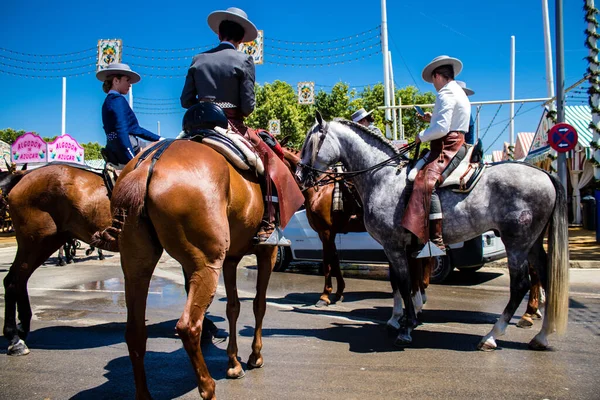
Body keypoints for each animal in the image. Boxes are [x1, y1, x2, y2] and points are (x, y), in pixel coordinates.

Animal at [94, 141, 282, 400]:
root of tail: (149, 163)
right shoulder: (267, 253)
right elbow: (259, 304)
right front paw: (255, 356)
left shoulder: (231, 260)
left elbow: (233, 307)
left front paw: (233, 363)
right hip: (206, 265)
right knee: (188, 327)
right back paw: (208, 387)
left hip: (135, 266)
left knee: (134, 332)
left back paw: (144, 394)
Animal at [298, 112, 568, 350]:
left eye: (310, 142)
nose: (300, 175)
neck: (383, 178)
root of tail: (545, 173)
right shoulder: (397, 247)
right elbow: (400, 281)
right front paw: (398, 319)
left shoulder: (393, 246)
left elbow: (404, 282)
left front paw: (407, 327)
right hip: (533, 242)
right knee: (546, 276)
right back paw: (542, 336)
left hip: (517, 243)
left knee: (521, 284)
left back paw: (492, 335)